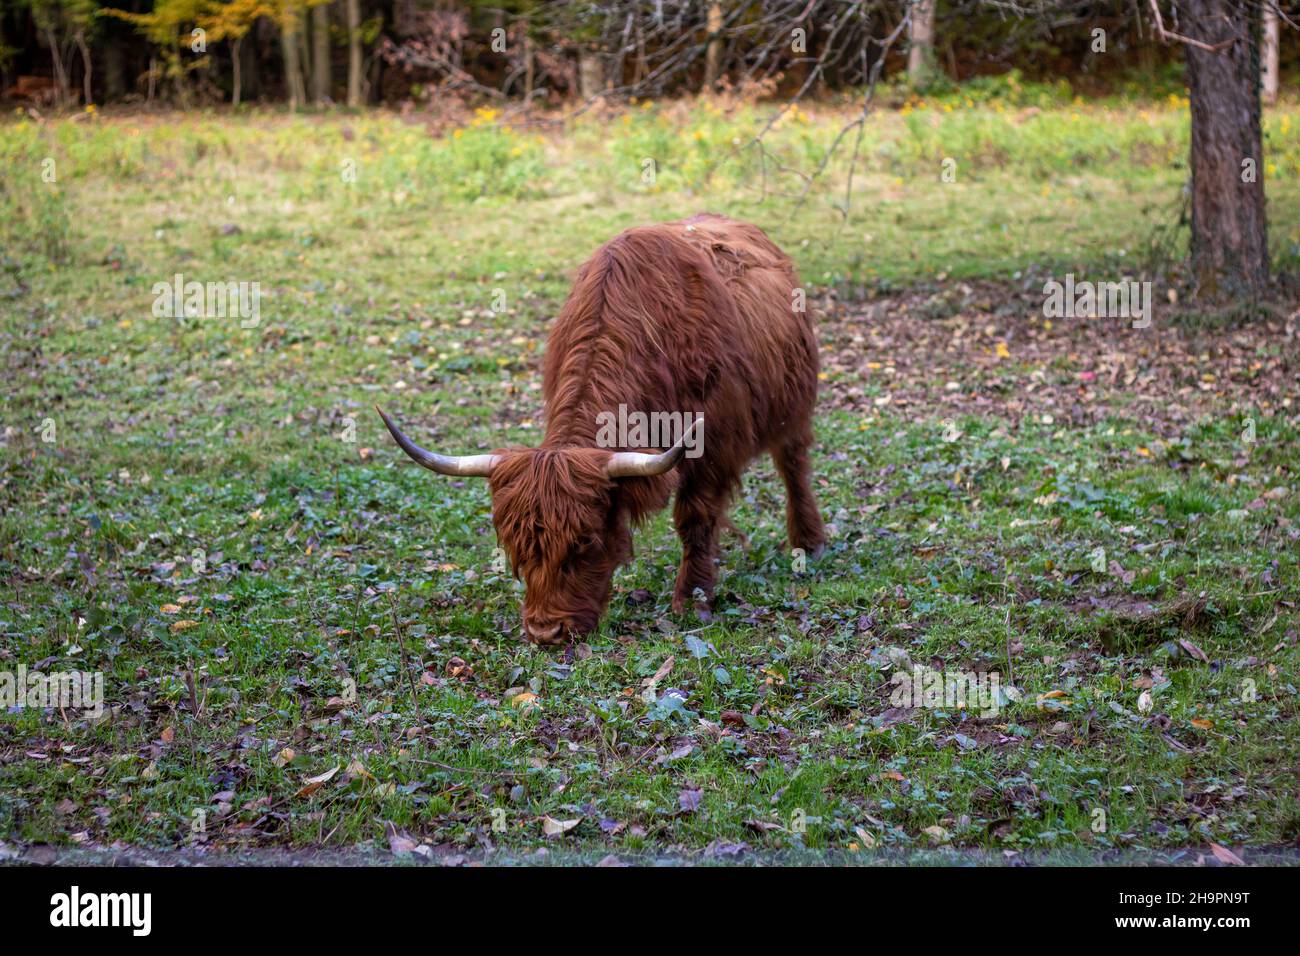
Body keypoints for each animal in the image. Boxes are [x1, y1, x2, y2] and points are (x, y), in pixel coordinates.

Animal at [377, 213, 824, 646]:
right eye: (515, 546)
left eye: (584, 542)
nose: (546, 633)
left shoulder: (713, 444)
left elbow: (695, 518)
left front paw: (692, 600)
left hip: (795, 407)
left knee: (794, 466)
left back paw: (809, 543)